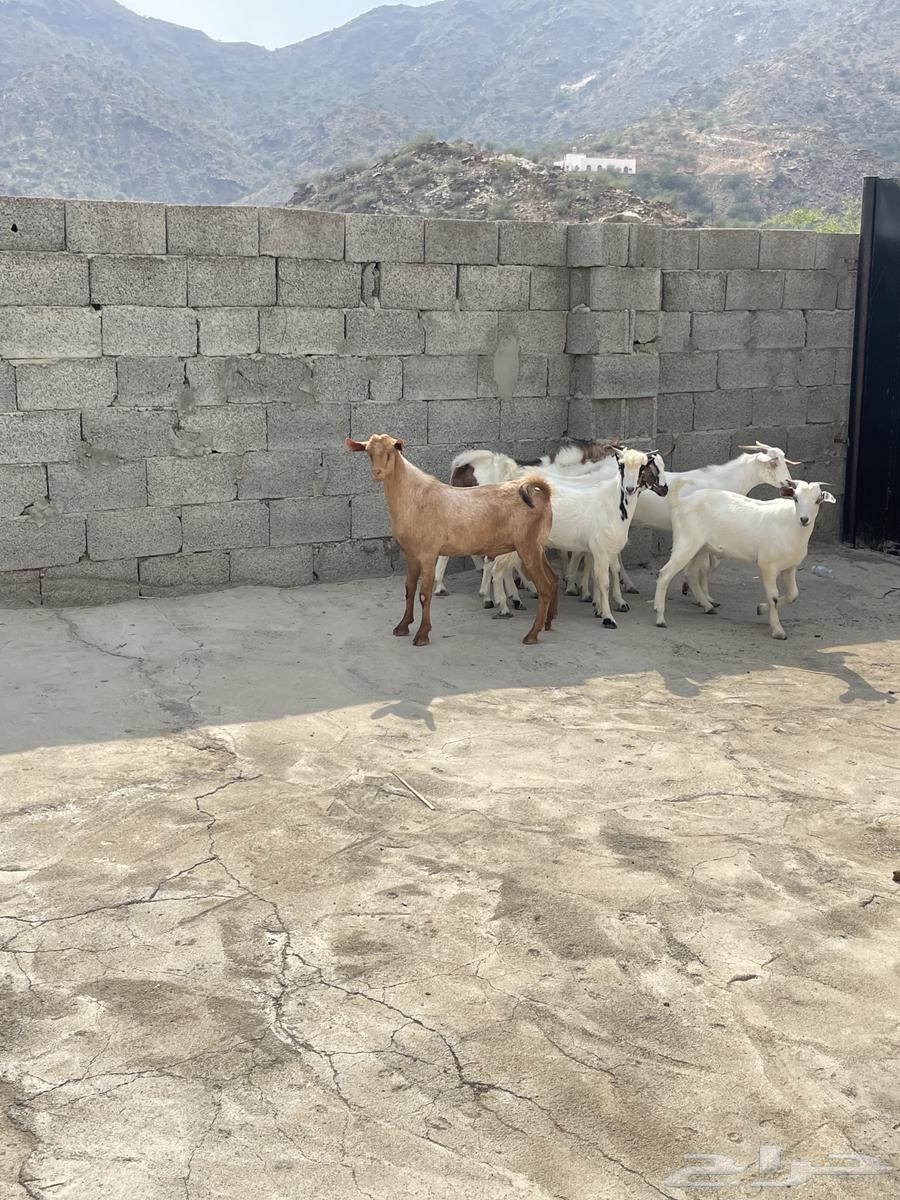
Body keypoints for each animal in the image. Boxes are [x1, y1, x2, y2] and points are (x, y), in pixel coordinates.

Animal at [346, 435, 558, 646]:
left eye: (391, 451)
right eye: (368, 452)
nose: (377, 472)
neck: (413, 498)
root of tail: (542, 494)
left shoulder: (428, 553)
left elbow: (424, 594)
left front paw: (422, 634)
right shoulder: (411, 554)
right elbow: (409, 590)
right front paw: (402, 626)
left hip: (528, 547)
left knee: (544, 587)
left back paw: (532, 634)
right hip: (537, 546)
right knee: (552, 579)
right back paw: (547, 623)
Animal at [653, 478, 835, 638]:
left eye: (818, 500)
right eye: (795, 498)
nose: (804, 519)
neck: (790, 524)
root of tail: (680, 502)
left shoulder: (789, 568)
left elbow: (793, 595)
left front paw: (761, 609)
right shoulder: (767, 566)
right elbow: (774, 597)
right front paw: (778, 630)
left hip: (700, 547)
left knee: (690, 574)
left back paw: (707, 606)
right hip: (686, 542)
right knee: (665, 574)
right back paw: (660, 618)